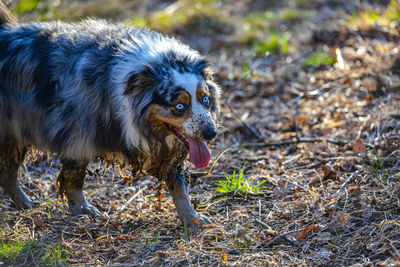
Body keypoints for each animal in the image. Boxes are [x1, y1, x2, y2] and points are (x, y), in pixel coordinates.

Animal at [0, 1, 222, 228]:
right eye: (179, 106)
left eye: (205, 99)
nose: (210, 133)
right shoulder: (77, 133)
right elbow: (74, 177)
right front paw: (82, 211)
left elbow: (178, 184)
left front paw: (193, 218)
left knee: (7, 173)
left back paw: (25, 204)